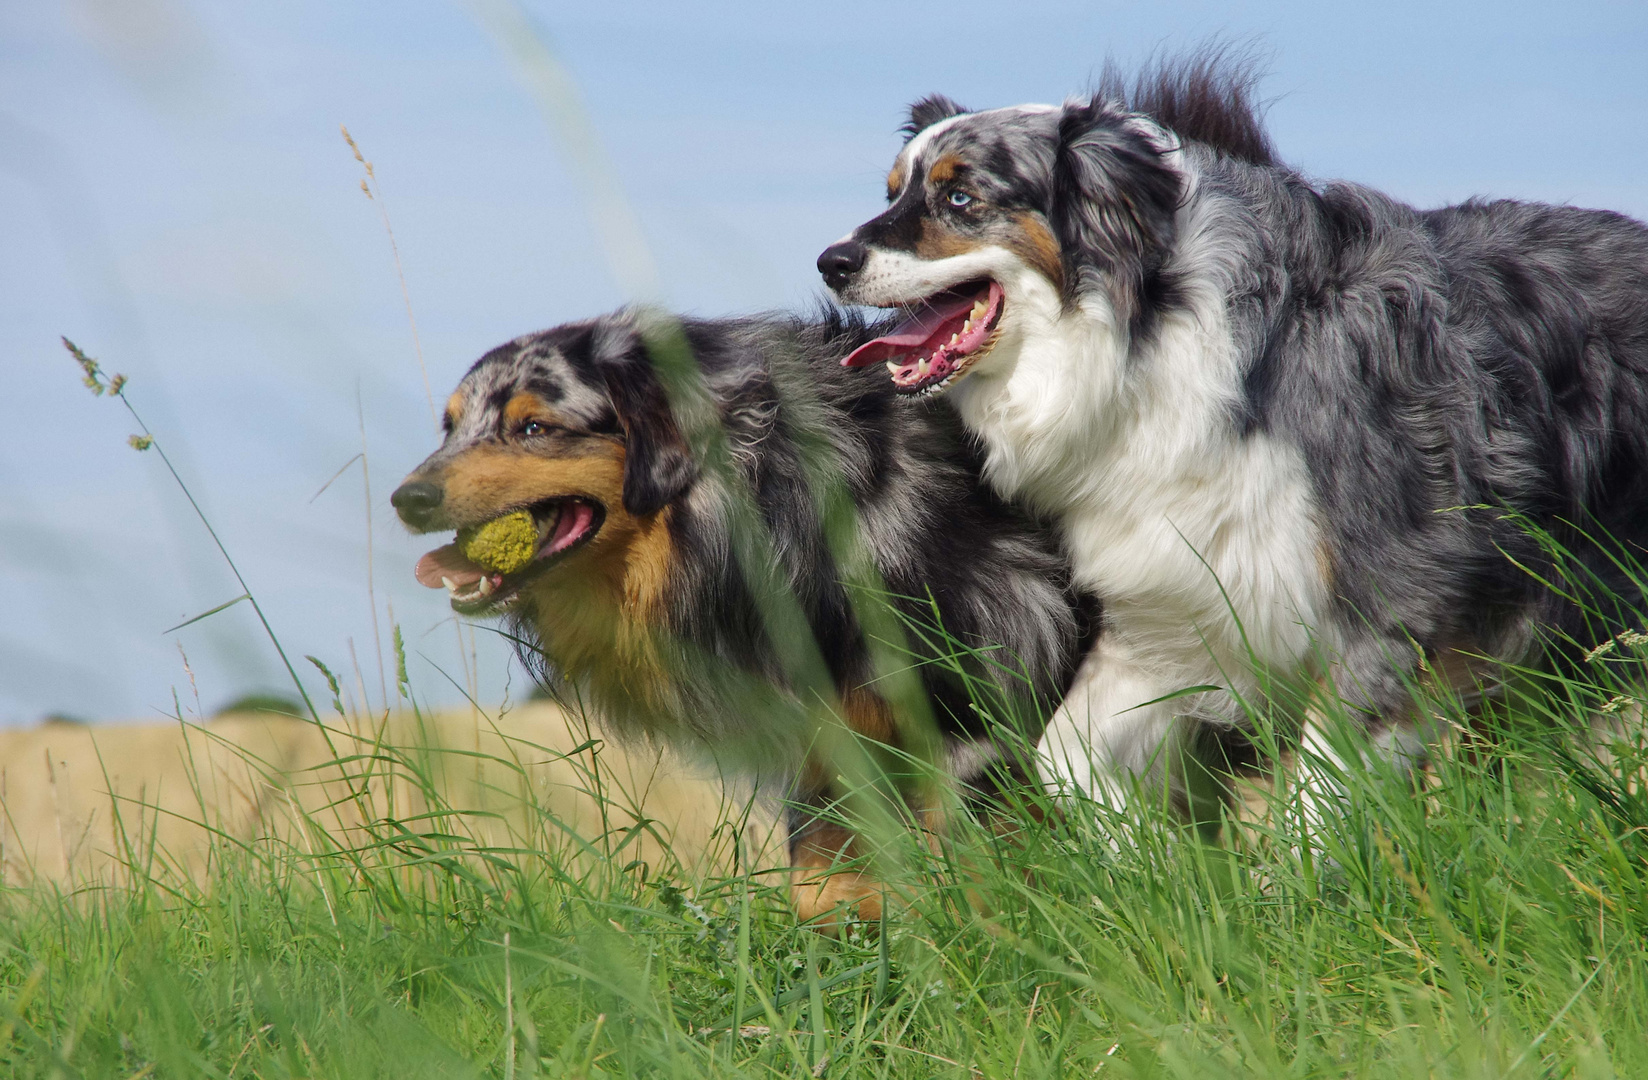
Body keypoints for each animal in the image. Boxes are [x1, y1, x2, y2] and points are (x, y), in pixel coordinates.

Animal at [393, 306, 1094, 923]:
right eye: (449, 427)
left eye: (534, 428)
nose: (407, 499)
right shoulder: (834, 740)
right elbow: (818, 885)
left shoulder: (976, 710)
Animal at [824, 50, 1648, 827]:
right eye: (893, 192)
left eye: (960, 197)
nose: (831, 262)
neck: (1146, 336)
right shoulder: (1179, 602)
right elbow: (1064, 758)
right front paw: (1148, 859)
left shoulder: (1394, 597)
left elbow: (1314, 804)